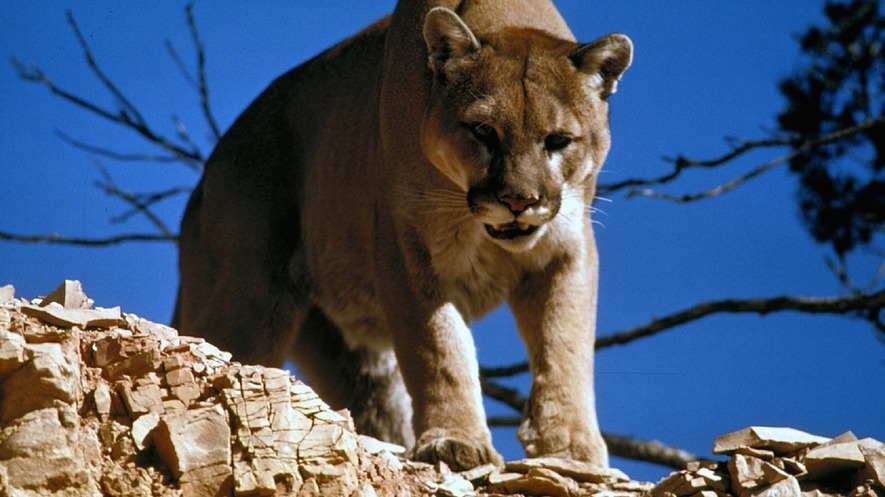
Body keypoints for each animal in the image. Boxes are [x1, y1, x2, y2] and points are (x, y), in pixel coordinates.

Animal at [175, 0, 632, 471]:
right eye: (483, 131)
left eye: (558, 140)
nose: (518, 200)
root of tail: (206, 176)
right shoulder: (407, 248)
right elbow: (438, 348)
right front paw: (455, 441)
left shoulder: (567, 250)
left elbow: (565, 346)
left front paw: (571, 448)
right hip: (249, 301)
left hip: (352, 356)